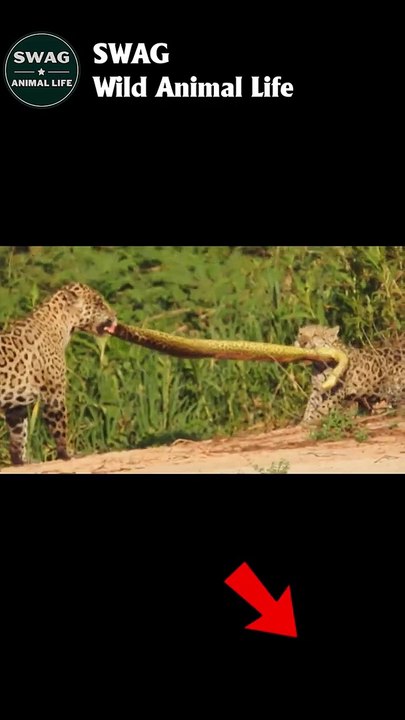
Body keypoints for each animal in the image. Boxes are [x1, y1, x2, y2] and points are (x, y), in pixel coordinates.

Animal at [0, 283, 117, 465]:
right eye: (98, 303)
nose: (115, 315)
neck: (62, 326)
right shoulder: (54, 394)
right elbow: (60, 427)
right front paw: (66, 454)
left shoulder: (16, 404)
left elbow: (19, 434)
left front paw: (20, 461)